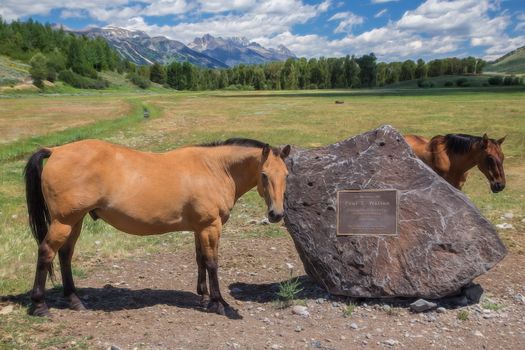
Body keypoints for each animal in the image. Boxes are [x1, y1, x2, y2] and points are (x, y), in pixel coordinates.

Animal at [24, 137, 290, 318]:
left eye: (287, 174)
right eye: (264, 175)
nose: (276, 214)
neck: (214, 169)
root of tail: (56, 150)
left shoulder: (199, 228)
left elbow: (201, 261)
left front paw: (204, 297)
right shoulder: (210, 227)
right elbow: (212, 263)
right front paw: (218, 303)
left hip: (75, 221)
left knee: (65, 255)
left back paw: (74, 300)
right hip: (64, 222)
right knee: (46, 252)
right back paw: (40, 305)